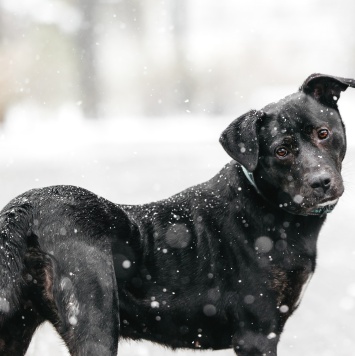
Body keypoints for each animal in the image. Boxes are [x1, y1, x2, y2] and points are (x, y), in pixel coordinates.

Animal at [0, 73, 354, 354]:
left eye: (323, 133)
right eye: (281, 151)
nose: (321, 182)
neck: (266, 204)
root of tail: (25, 207)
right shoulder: (256, 334)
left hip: (14, 328)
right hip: (95, 322)